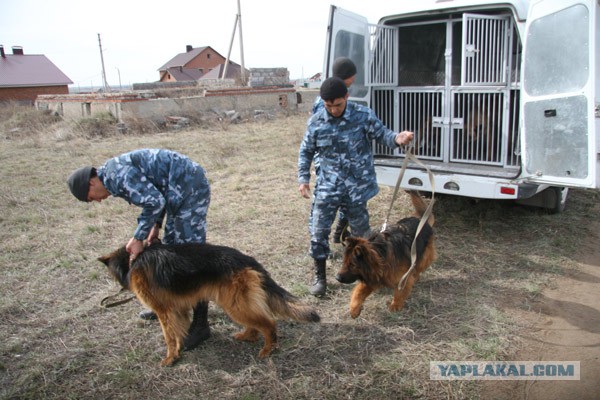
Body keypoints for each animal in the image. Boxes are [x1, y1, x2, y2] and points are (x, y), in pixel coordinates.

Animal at [99, 242, 318, 368]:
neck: (132, 260)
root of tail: (247, 259)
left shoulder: (164, 312)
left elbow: (169, 337)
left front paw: (171, 358)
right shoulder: (177, 309)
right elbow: (179, 332)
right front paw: (181, 349)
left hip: (235, 305)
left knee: (269, 323)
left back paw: (268, 348)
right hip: (235, 303)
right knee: (257, 323)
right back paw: (248, 335)